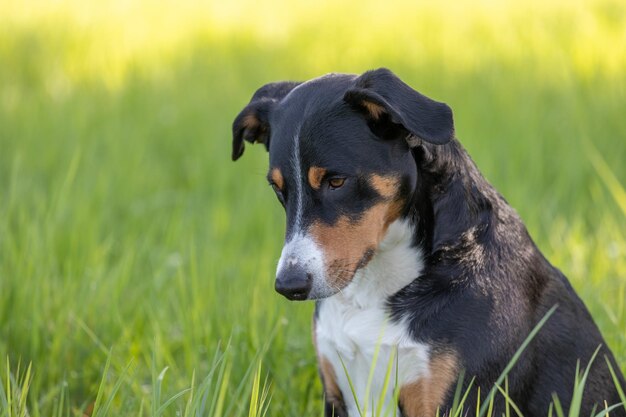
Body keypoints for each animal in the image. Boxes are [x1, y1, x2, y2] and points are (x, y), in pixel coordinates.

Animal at [230, 69, 624, 416]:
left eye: (336, 181)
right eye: (278, 189)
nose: (289, 284)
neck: (376, 288)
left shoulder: (458, 399)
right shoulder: (337, 392)